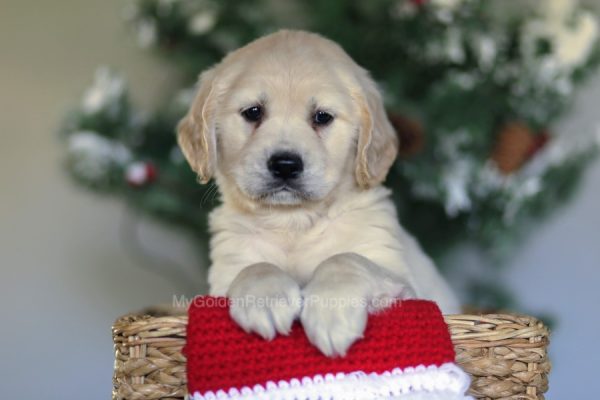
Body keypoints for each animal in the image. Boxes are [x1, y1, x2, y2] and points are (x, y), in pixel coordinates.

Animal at [178, 30, 460, 356]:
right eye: (253, 112)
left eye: (322, 117)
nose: (285, 165)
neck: (294, 223)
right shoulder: (223, 280)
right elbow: (254, 267)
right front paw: (265, 298)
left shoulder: (407, 289)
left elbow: (345, 259)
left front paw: (331, 314)